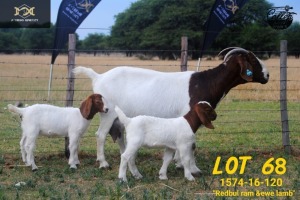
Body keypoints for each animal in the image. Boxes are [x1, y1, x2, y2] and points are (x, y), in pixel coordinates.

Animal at [73, 47, 270, 168]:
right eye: (253, 60)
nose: (267, 75)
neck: (206, 82)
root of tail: (98, 77)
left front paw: (177, 161)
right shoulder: (189, 114)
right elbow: (189, 143)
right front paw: (183, 163)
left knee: (120, 135)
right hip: (108, 111)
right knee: (100, 135)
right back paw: (104, 163)